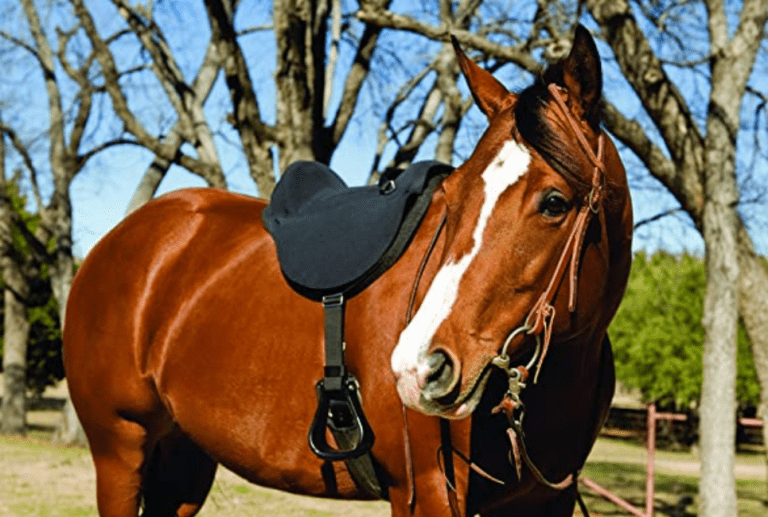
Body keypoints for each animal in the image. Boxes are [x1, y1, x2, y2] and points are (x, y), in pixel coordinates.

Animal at [63, 25, 632, 517]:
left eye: (555, 202)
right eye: (452, 195)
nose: (419, 367)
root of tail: (120, 240)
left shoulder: (546, 501)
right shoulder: (427, 492)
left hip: (184, 457)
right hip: (120, 452)